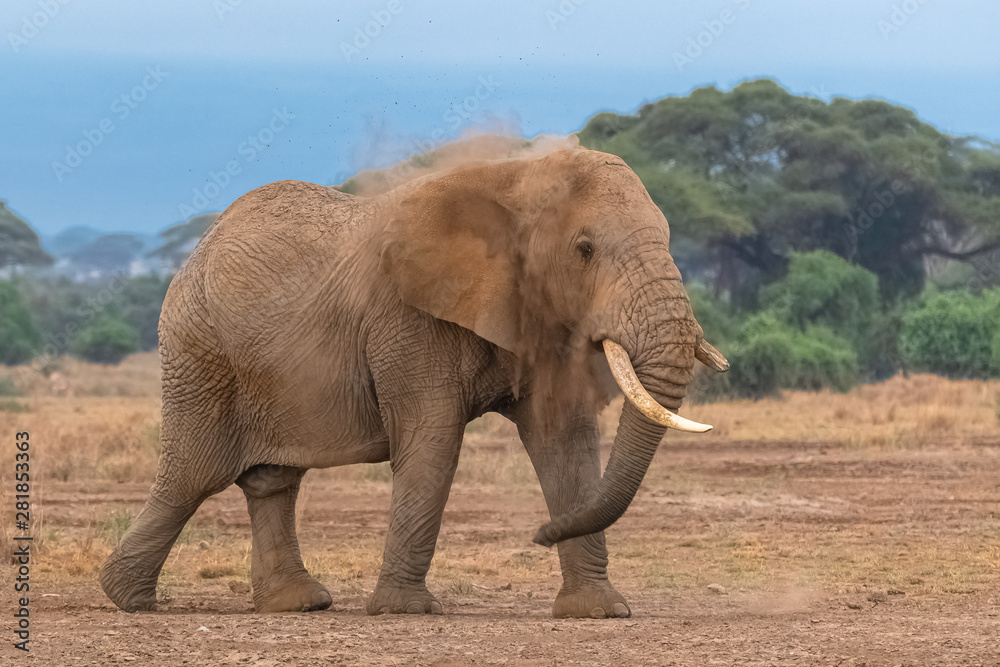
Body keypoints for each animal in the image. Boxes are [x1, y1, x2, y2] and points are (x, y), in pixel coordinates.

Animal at [99, 146, 728, 619]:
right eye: (585, 249)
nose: (538, 533)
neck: (517, 176)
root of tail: (196, 251)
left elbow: (564, 443)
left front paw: (598, 612)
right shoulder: (407, 320)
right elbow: (433, 441)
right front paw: (405, 610)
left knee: (273, 480)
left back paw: (298, 604)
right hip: (197, 352)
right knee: (192, 476)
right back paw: (127, 599)